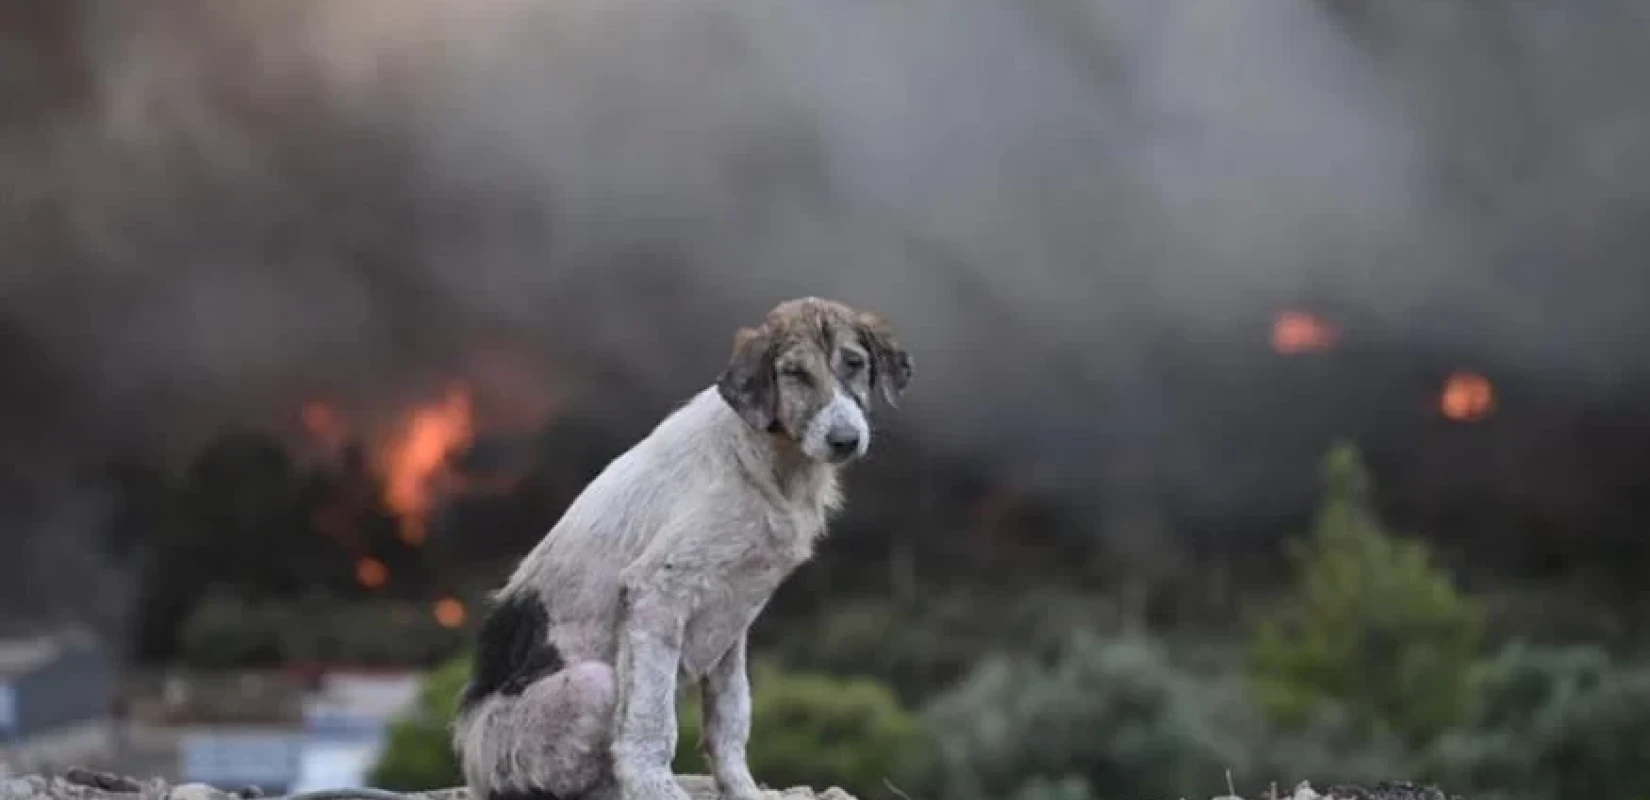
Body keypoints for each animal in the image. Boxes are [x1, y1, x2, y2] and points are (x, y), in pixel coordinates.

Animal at [452, 296, 917, 795]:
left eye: (854, 364)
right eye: (795, 374)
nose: (845, 440)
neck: (769, 461)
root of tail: (472, 761)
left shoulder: (734, 614)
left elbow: (731, 716)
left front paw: (742, 789)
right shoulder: (656, 590)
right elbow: (651, 717)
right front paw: (655, 787)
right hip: (592, 686)